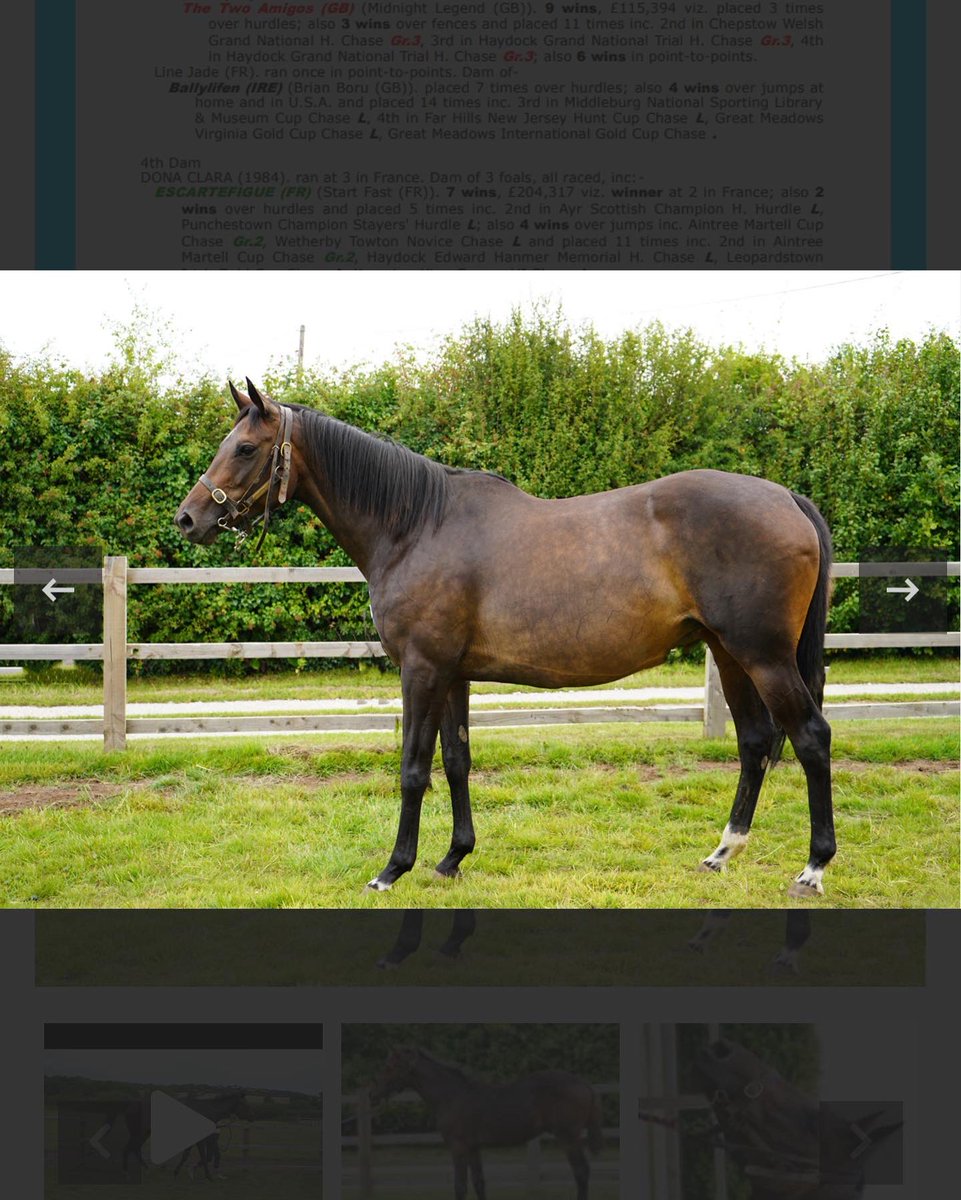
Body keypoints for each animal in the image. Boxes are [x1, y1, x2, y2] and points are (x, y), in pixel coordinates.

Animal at [175, 380, 835, 897]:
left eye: (246, 448)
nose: (188, 518)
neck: (416, 526)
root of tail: (787, 497)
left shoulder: (421, 669)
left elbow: (414, 767)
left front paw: (393, 869)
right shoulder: (454, 674)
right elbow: (457, 761)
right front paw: (452, 859)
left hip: (764, 657)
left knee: (810, 737)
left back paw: (813, 869)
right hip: (730, 654)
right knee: (755, 742)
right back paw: (722, 853)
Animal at [370, 1046, 603, 1200]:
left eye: (390, 1067)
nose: (373, 1094)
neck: (452, 1095)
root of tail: (584, 1084)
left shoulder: (458, 1147)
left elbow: (460, 1186)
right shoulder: (474, 1148)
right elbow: (479, 1183)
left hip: (568, 1137)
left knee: (581, 1172)